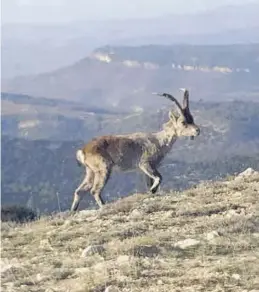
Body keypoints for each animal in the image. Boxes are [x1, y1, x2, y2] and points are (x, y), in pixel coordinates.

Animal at [71, 88, 201, 211]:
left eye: (192, 118)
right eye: (183, 122)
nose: (197, 130)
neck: (159, 141)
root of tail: (83, 151)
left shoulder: (148, 169)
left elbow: (151, 182)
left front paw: (151, 191)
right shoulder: (145, 164)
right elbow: (159, 178)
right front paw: (152, 190)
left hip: (91, 171)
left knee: (80, 190)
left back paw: (73, 211)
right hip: (103, 168)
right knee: (95, 190)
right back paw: (104, 207)